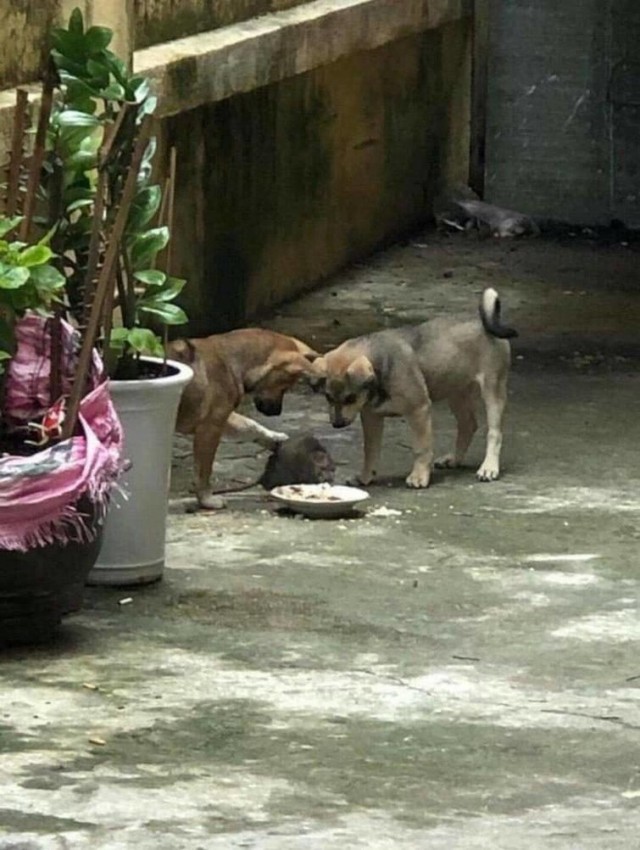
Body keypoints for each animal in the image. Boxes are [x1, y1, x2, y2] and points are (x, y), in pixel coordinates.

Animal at [169, 328, 318, 506]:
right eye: (284, 387)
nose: (277, 412)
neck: (232, 362)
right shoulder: (210, 428)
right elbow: (204, 470)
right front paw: (206, 499)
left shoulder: (221, 420)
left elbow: (250, 426)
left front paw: (274, 438)